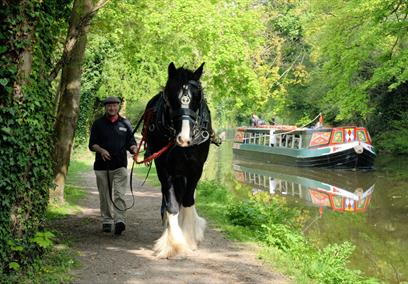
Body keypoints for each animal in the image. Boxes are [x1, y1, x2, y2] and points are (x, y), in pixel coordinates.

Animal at [142, 63, 212, 258]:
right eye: (170, 95)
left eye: (198, 96)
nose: (184, 138)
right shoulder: (164, 168)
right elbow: (172, 204)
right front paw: (175, 245)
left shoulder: (196, 168)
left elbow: (188, 200)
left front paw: (189, 238)